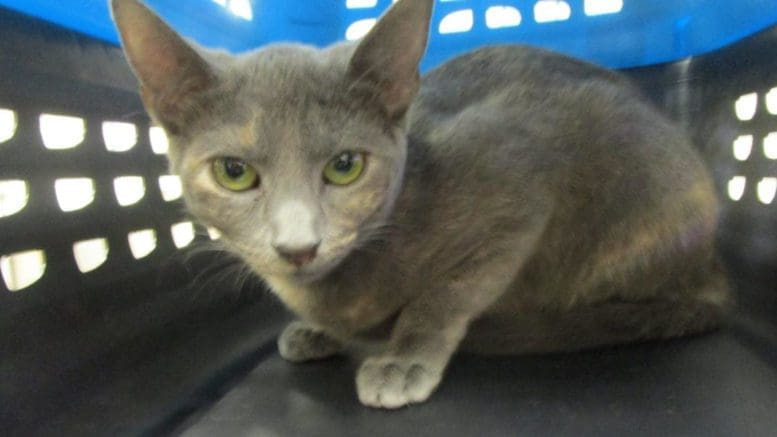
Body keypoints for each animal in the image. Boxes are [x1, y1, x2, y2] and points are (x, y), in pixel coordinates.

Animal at [112, 0, 732, 408]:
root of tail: (712, 274)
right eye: (234, 173)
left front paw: (402, 357)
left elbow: (443, 295)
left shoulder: (520, 191)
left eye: (345, 165)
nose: (298, 247)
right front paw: (316, 331)